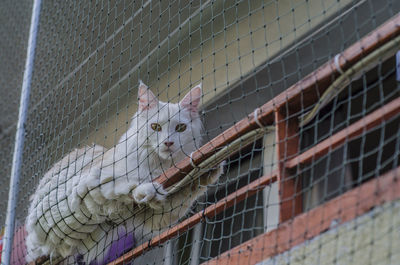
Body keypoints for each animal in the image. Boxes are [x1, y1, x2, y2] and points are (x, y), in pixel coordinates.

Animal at [26, 81, 223, 262]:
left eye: (180, 128)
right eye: (155, 127)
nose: (168, 142)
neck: (158, 165)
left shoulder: (157, 216)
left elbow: (185, 195)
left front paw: (207, 172)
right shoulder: (91, 184)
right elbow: (124, 187)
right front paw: (146, 190)